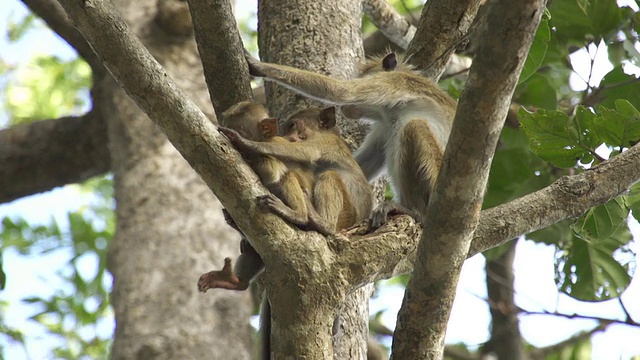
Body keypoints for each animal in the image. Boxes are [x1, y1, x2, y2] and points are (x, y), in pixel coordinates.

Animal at [242, 52, 458, 229]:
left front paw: (259, 66)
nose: (346, 108)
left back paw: (415, 211)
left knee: (415, 127)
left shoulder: (392, 83)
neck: (389, 111)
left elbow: (341, 91)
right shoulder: (383, 127)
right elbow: (361, 167)